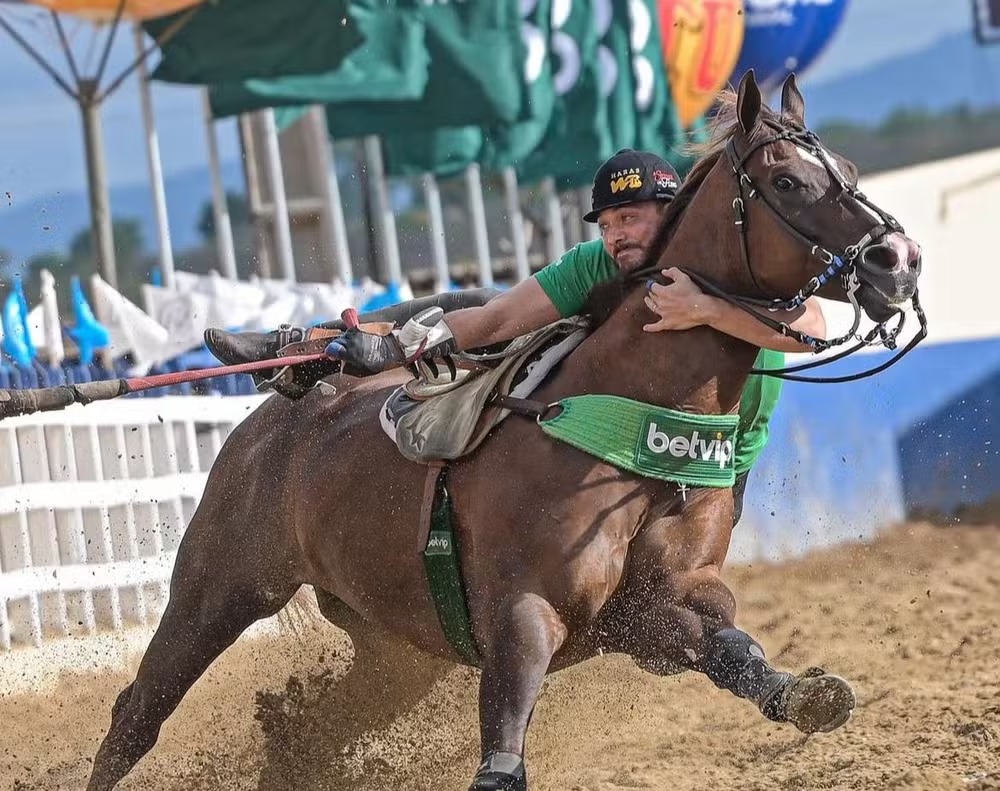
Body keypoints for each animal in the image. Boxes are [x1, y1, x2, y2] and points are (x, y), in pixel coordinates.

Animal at [84, 71, 920, 788]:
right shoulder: (523, 613)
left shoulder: (659, 609)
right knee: (135, 715)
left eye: (847, 166)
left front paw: (809, 695)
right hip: (220, 585)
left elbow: (734, 649)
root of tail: (276, 415)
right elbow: (505, 740)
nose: (897, 258)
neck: (629, 439)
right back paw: (289, 345)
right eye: (786, 181)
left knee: (315, 728)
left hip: (394, 645)